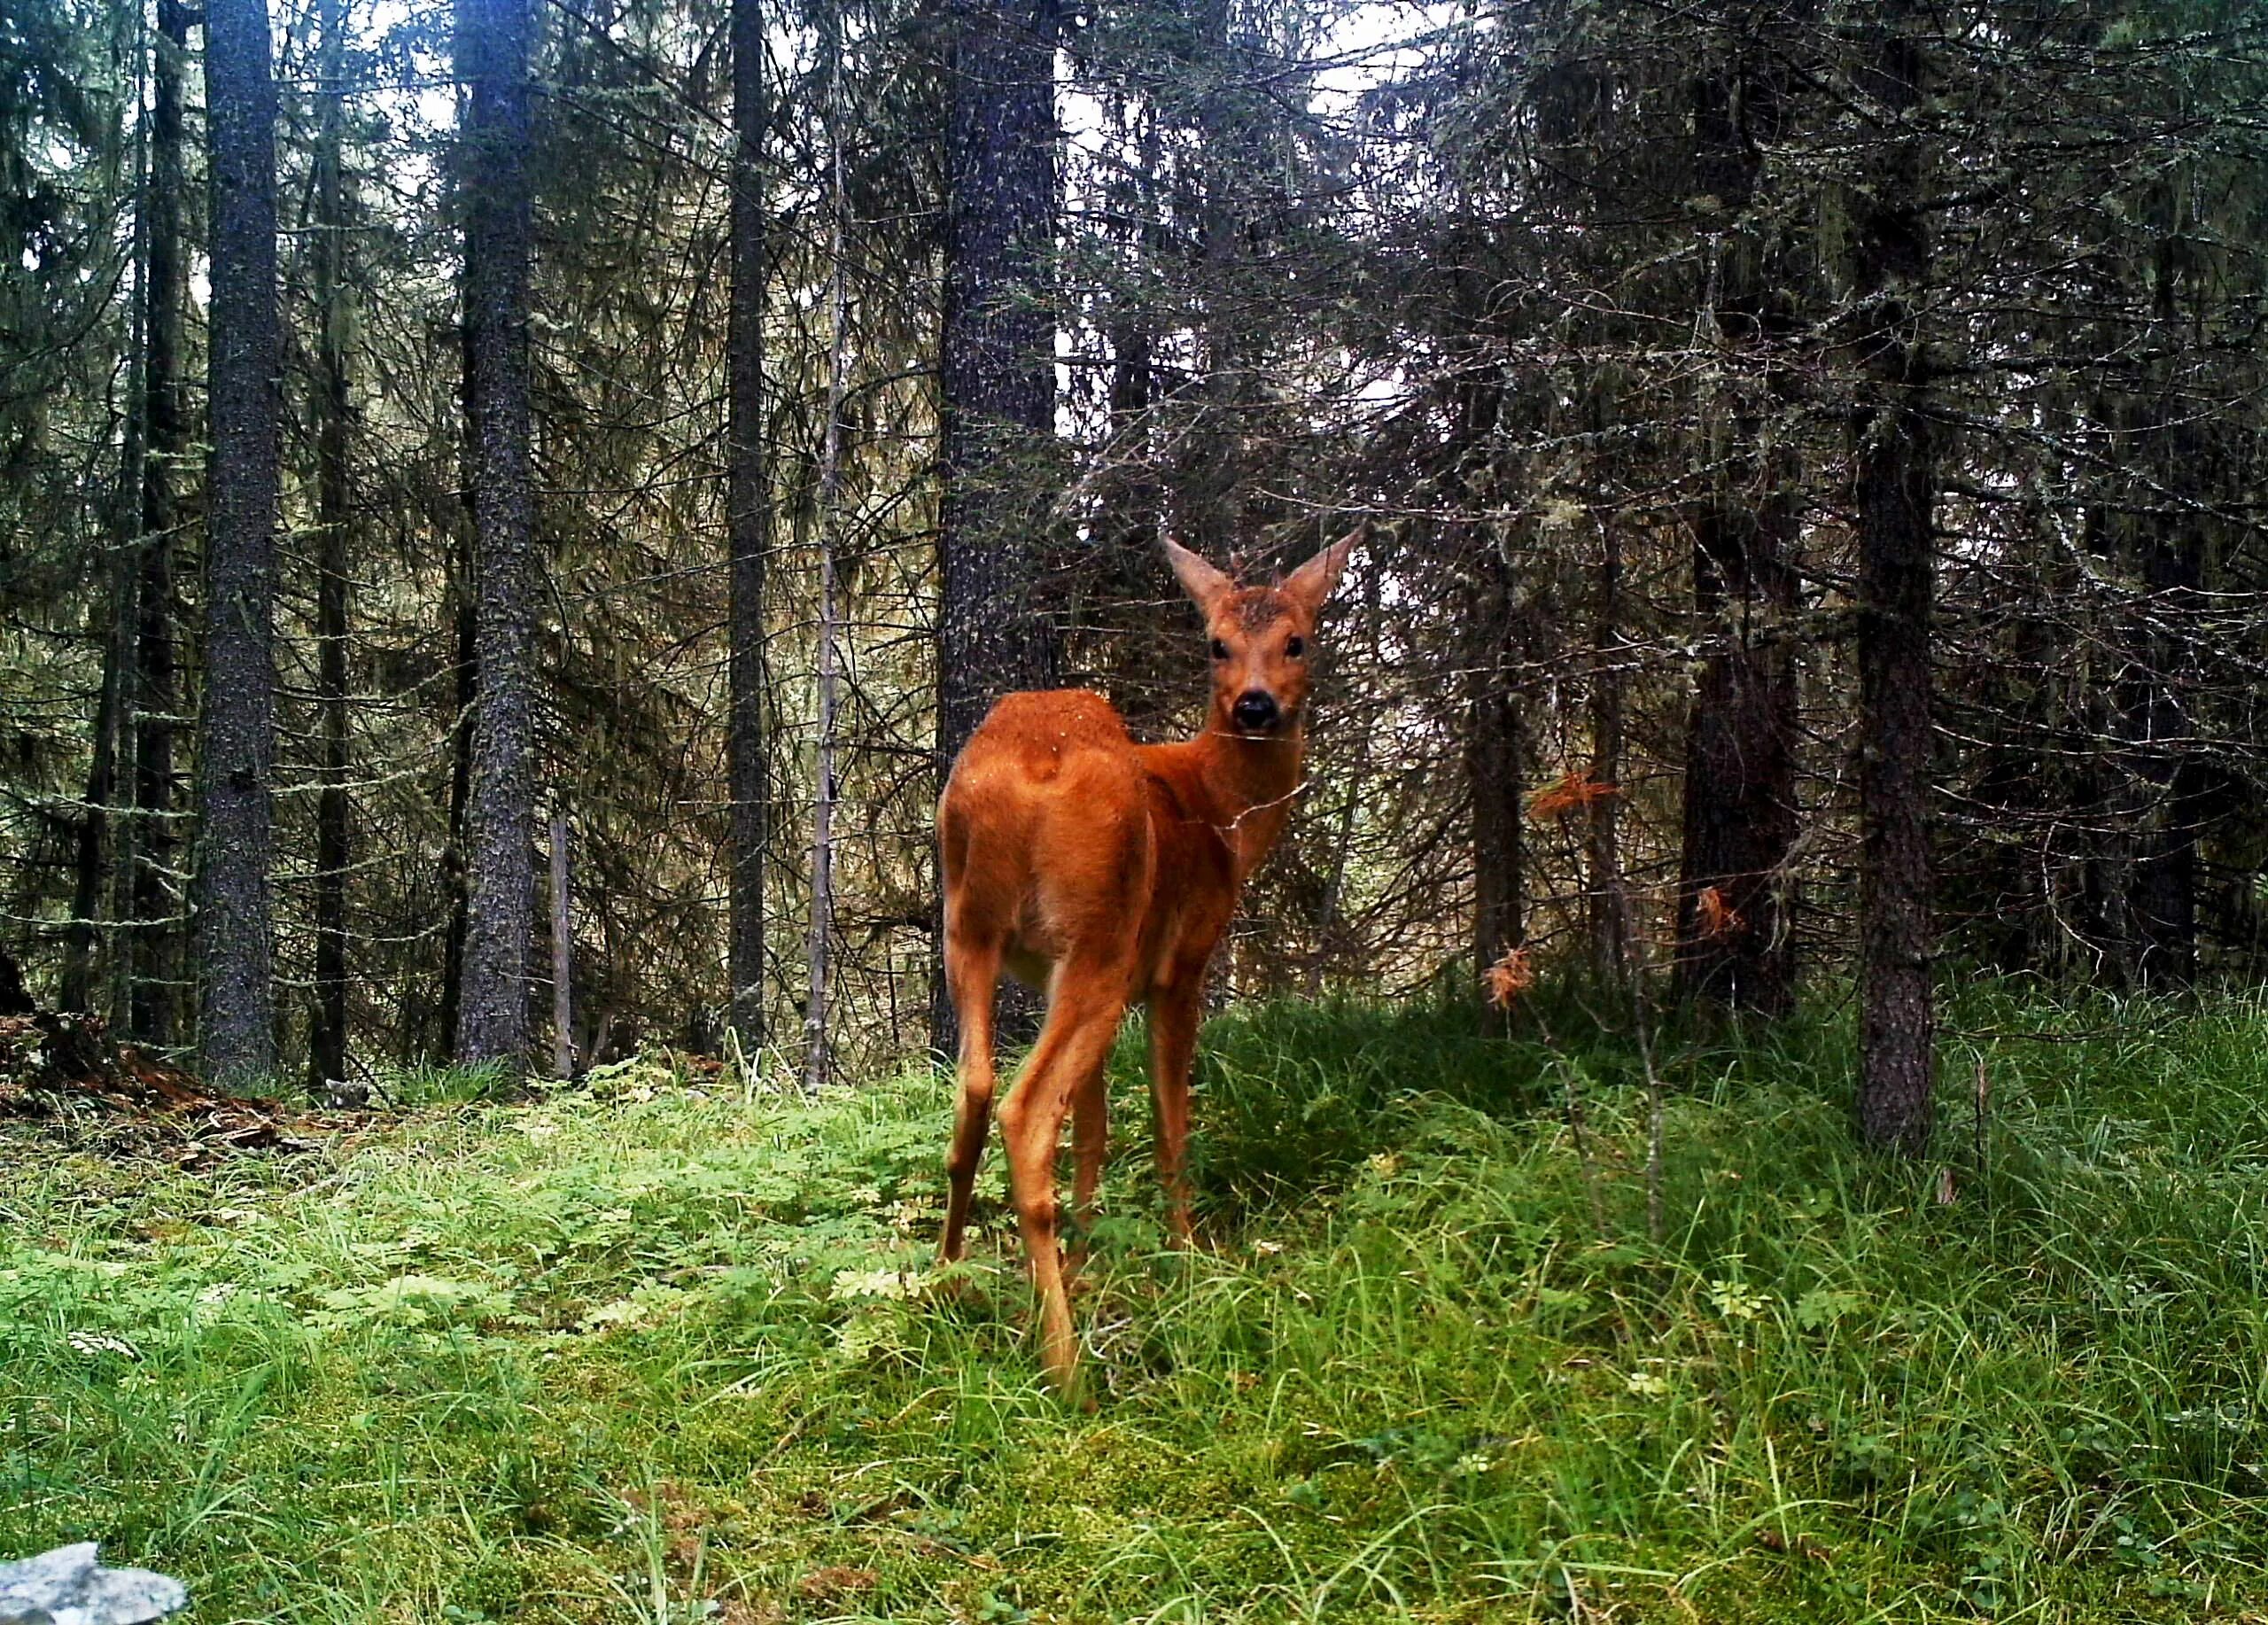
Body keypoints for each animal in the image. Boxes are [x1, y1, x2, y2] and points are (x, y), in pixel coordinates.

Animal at [934, 526, 1351, 1388]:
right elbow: (1168, 1116)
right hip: (1099, 934)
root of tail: (1033, 769)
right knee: (1025, 1111)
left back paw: (942, 1283)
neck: (1223, 815)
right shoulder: (1179, 964)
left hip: (972, 931)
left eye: (1295, 640)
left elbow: (1094, 1126)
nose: (1256, 705)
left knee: (975, 1091)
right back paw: (1066, 1370)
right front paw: (1186, 1253)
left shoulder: (1068, 975)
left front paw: (1089, 1254)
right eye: (1217, 643)